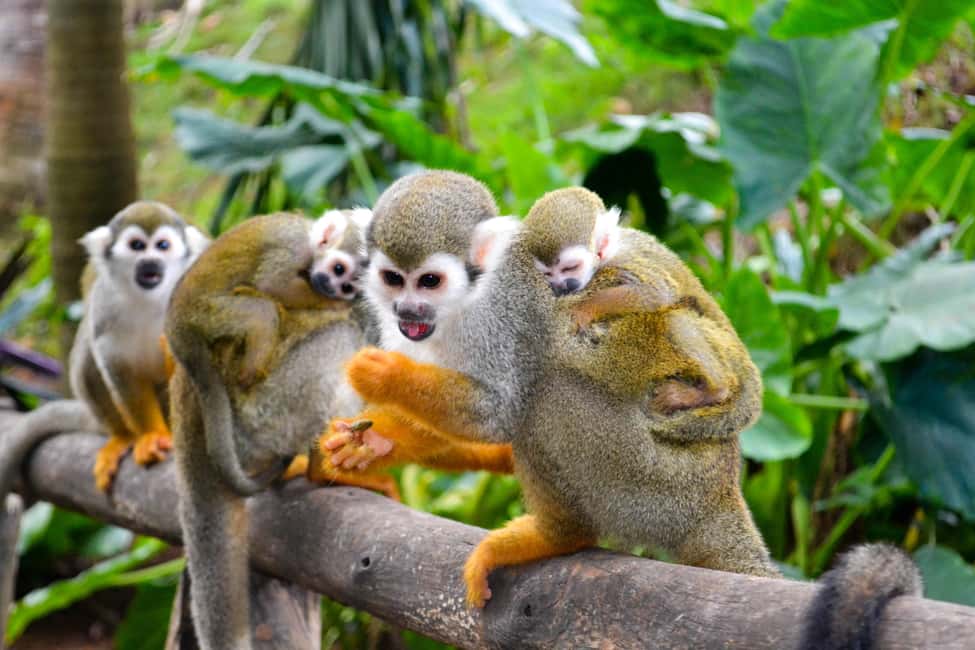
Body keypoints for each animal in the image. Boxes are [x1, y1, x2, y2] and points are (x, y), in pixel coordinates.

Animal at [68, 200, 210, 491]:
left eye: (162, 246)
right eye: (137, 246)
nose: (150, 261)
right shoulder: (103, 305)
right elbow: (118, 368)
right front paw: (152, 435)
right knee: (87, 357)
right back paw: (122, 437)